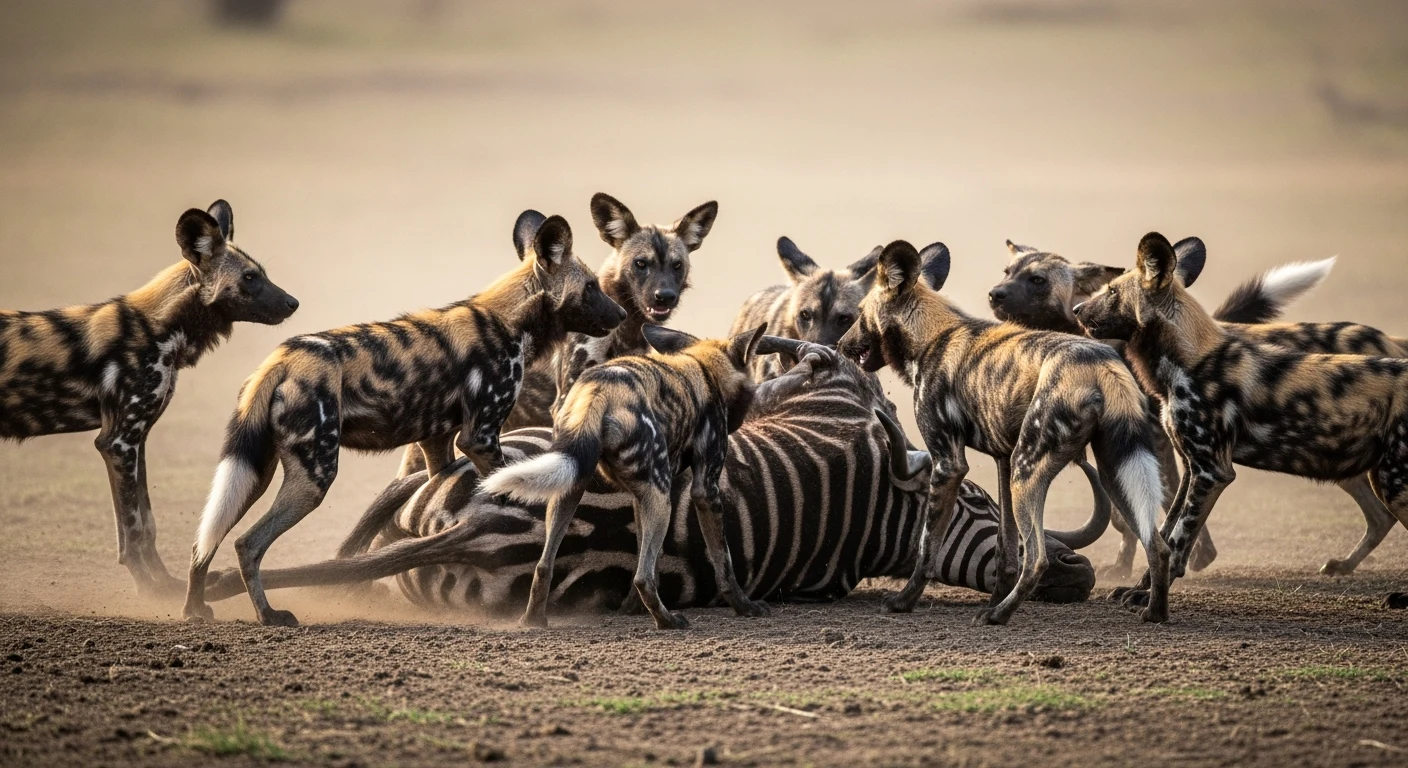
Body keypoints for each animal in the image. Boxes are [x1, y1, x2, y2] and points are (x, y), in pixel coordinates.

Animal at [201, 340, 1105, 613]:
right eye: (984, 500)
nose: (1078, 573)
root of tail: (489, 536)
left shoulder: (825, 395)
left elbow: (826, 363)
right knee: (380, 517)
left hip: (513, 454)